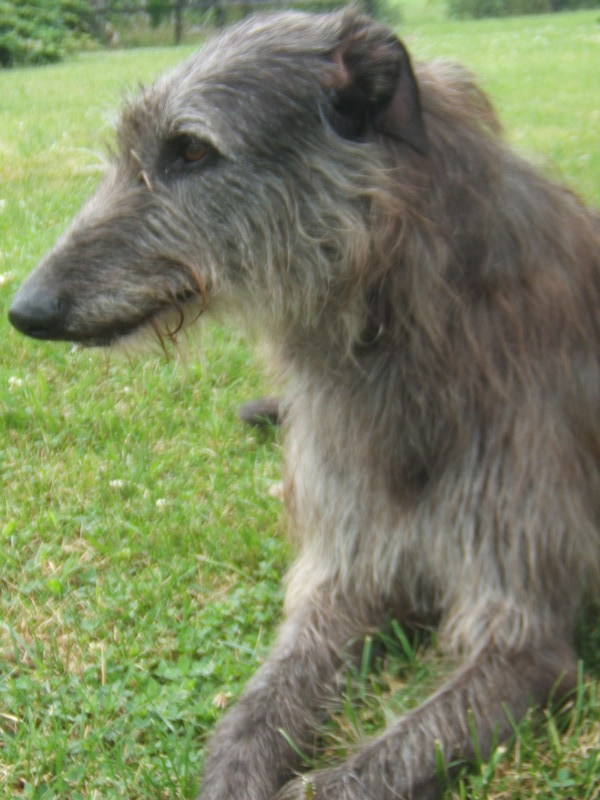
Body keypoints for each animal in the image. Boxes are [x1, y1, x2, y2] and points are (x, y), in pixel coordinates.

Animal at [9, 7, 600, 800]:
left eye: (190, 149)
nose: (26, 309)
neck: (399, 331)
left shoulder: (523, 636)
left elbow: (381, 760)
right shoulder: (341, 581)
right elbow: (250, 718)